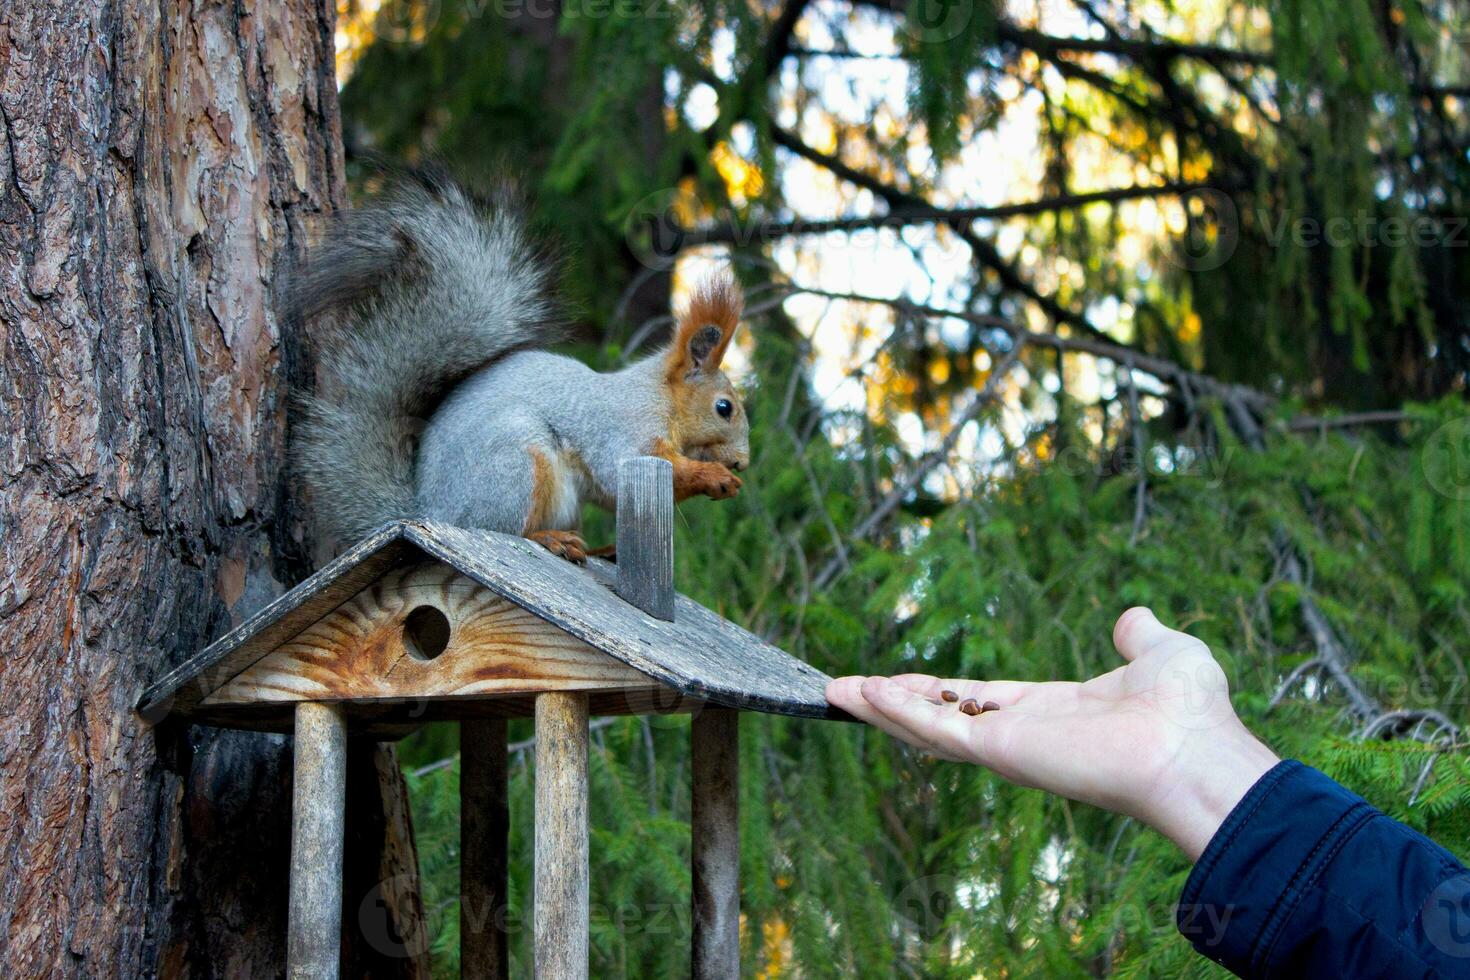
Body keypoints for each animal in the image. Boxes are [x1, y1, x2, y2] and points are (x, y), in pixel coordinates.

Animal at [289, 172, 746, 564]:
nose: (742, 462)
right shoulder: (625, 427)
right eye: (724, 407)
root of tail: (429, 513)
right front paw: (714, 476)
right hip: (517, 462)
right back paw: (551, 539)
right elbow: (625, 467)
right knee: (508, 531)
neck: (660, 396)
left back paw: (601, 550)